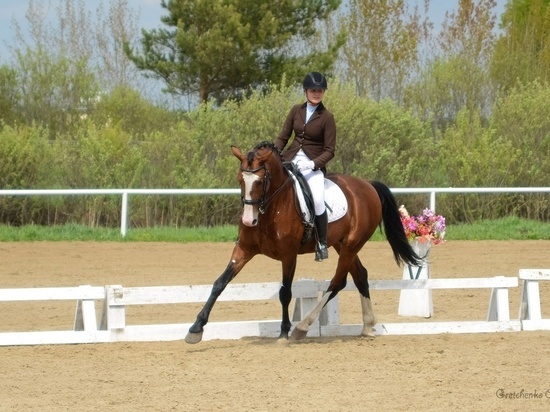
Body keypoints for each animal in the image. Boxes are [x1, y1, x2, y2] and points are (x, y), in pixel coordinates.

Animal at [185, 142, 422, 344]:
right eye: (240, 180)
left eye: (260, 181)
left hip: (352, 245)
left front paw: (283, 332)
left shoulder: (288, 255)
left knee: (337, 282)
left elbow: (285, 292)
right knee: (360, 276)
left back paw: (302, 327)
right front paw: (196, 328)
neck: (270, 208)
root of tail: (367, 185)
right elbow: (220, 283)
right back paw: (368, 327)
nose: (248, 221)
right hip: (341, 245)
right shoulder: (243, 249)